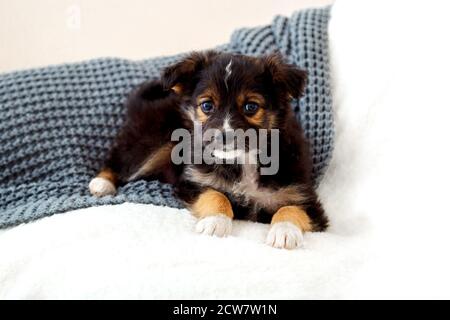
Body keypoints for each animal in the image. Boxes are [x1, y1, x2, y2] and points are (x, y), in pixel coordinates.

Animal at [89, 51, 326, 249]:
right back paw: (101, 183)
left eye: (251, 107)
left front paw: (284, 232)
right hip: (150, 142)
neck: (243, 162)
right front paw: (215, 222)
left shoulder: (304, 197)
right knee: (120, 159)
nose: (223, 136)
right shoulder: (192, 182)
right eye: (207, 106)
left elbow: (291, 208)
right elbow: (215, 194)